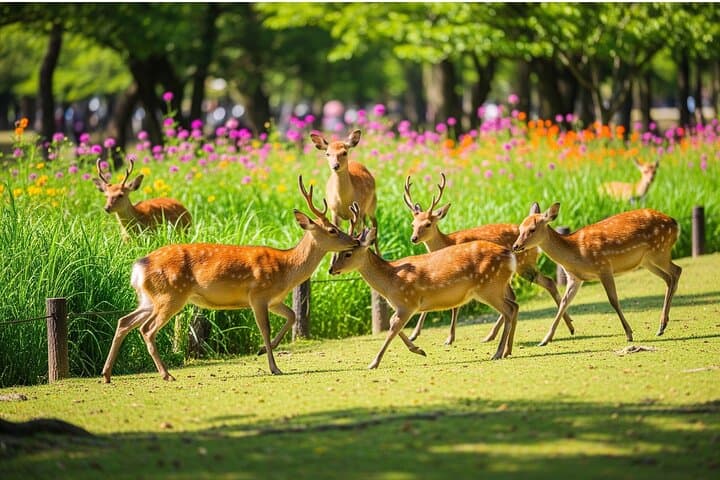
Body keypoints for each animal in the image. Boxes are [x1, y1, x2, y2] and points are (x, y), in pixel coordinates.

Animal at [101, 176, 359, 382]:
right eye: (333, 230)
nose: (355, 241)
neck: (287, 269)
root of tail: (138, 266)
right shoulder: (258, 295)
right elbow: (265, 329)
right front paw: (274, 367)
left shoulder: (274, 300)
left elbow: (293, 316)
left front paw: (261, 351)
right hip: (170, 295)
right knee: (146, 329)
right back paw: (166, 374)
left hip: (148, 298)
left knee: (124, 321)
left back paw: (106, 374)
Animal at [328, 203, 519, 369]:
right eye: (338, 251)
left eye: (348, 253)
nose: (331, 270)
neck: (389, 283)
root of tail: (509, 256)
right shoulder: (401, 306)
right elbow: (393, 324)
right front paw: (419, 350)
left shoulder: (407, 302)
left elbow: (393, 327)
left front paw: (374, 363)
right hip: (495, 287)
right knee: (514, 305)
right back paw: (507, 350)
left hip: (490, 287)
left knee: (509, 310)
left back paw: (498, 352)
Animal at [402, 173, 574, 345]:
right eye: (412, 224)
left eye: (428, 224)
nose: (413, 238)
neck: (448, 242)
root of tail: (537, 246)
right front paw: (414, 335)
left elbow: (454, 306)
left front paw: (449, 338)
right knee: (529, 290)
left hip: (523, 264)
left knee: (542, 285)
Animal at [512, 202, 682, 347]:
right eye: (520, 228)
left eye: (532, 229)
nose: (515, 246)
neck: (575, 253)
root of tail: (675, 223)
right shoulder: (574, 278)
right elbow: (563, 303)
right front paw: (544, 340)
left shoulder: (603, 267)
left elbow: (613, 300)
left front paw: (629, 334)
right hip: (647, 260)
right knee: (670, 277)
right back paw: (661, 327)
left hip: (659, 251)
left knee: (676, 271)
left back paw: (661, 325)